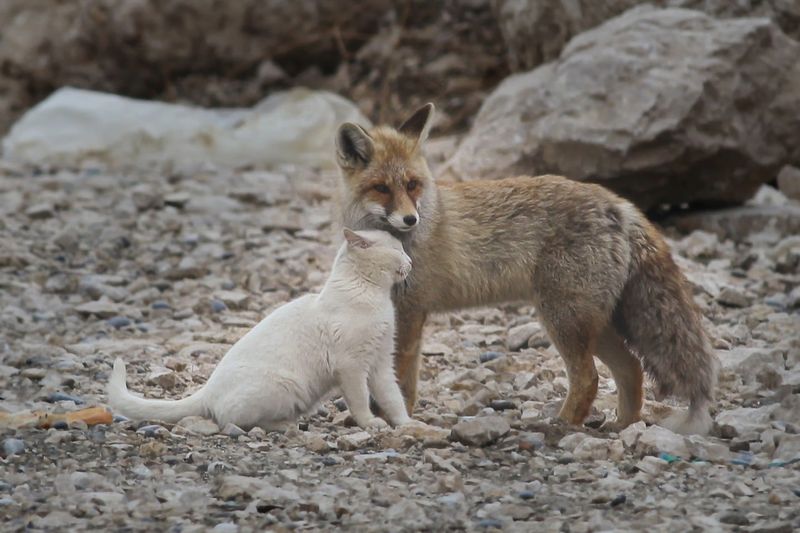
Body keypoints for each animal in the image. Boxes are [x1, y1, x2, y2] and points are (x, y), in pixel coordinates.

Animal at [105, 231, 412, 430]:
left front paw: (407, 424)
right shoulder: (351, 367)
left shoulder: (380, 363)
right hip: (285, 386)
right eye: (397, 250)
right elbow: (360, 401)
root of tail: (206, 390)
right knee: (233, 421)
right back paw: (285, 425)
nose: (410, 260)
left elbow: (393, 398)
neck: (375, 297)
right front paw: (371, 424)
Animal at [334, 103, 720, 432]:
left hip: (563, 319)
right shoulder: (408, 314)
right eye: (381, 188)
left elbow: (399, 380)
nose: (411, 219)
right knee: (631, 368)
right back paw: (621, 426)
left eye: (412, 185)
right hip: (592, 323)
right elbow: (398, 380)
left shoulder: (412, 312)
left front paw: (395, 419)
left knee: (589, 378)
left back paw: (561, 426)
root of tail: (619, 204)